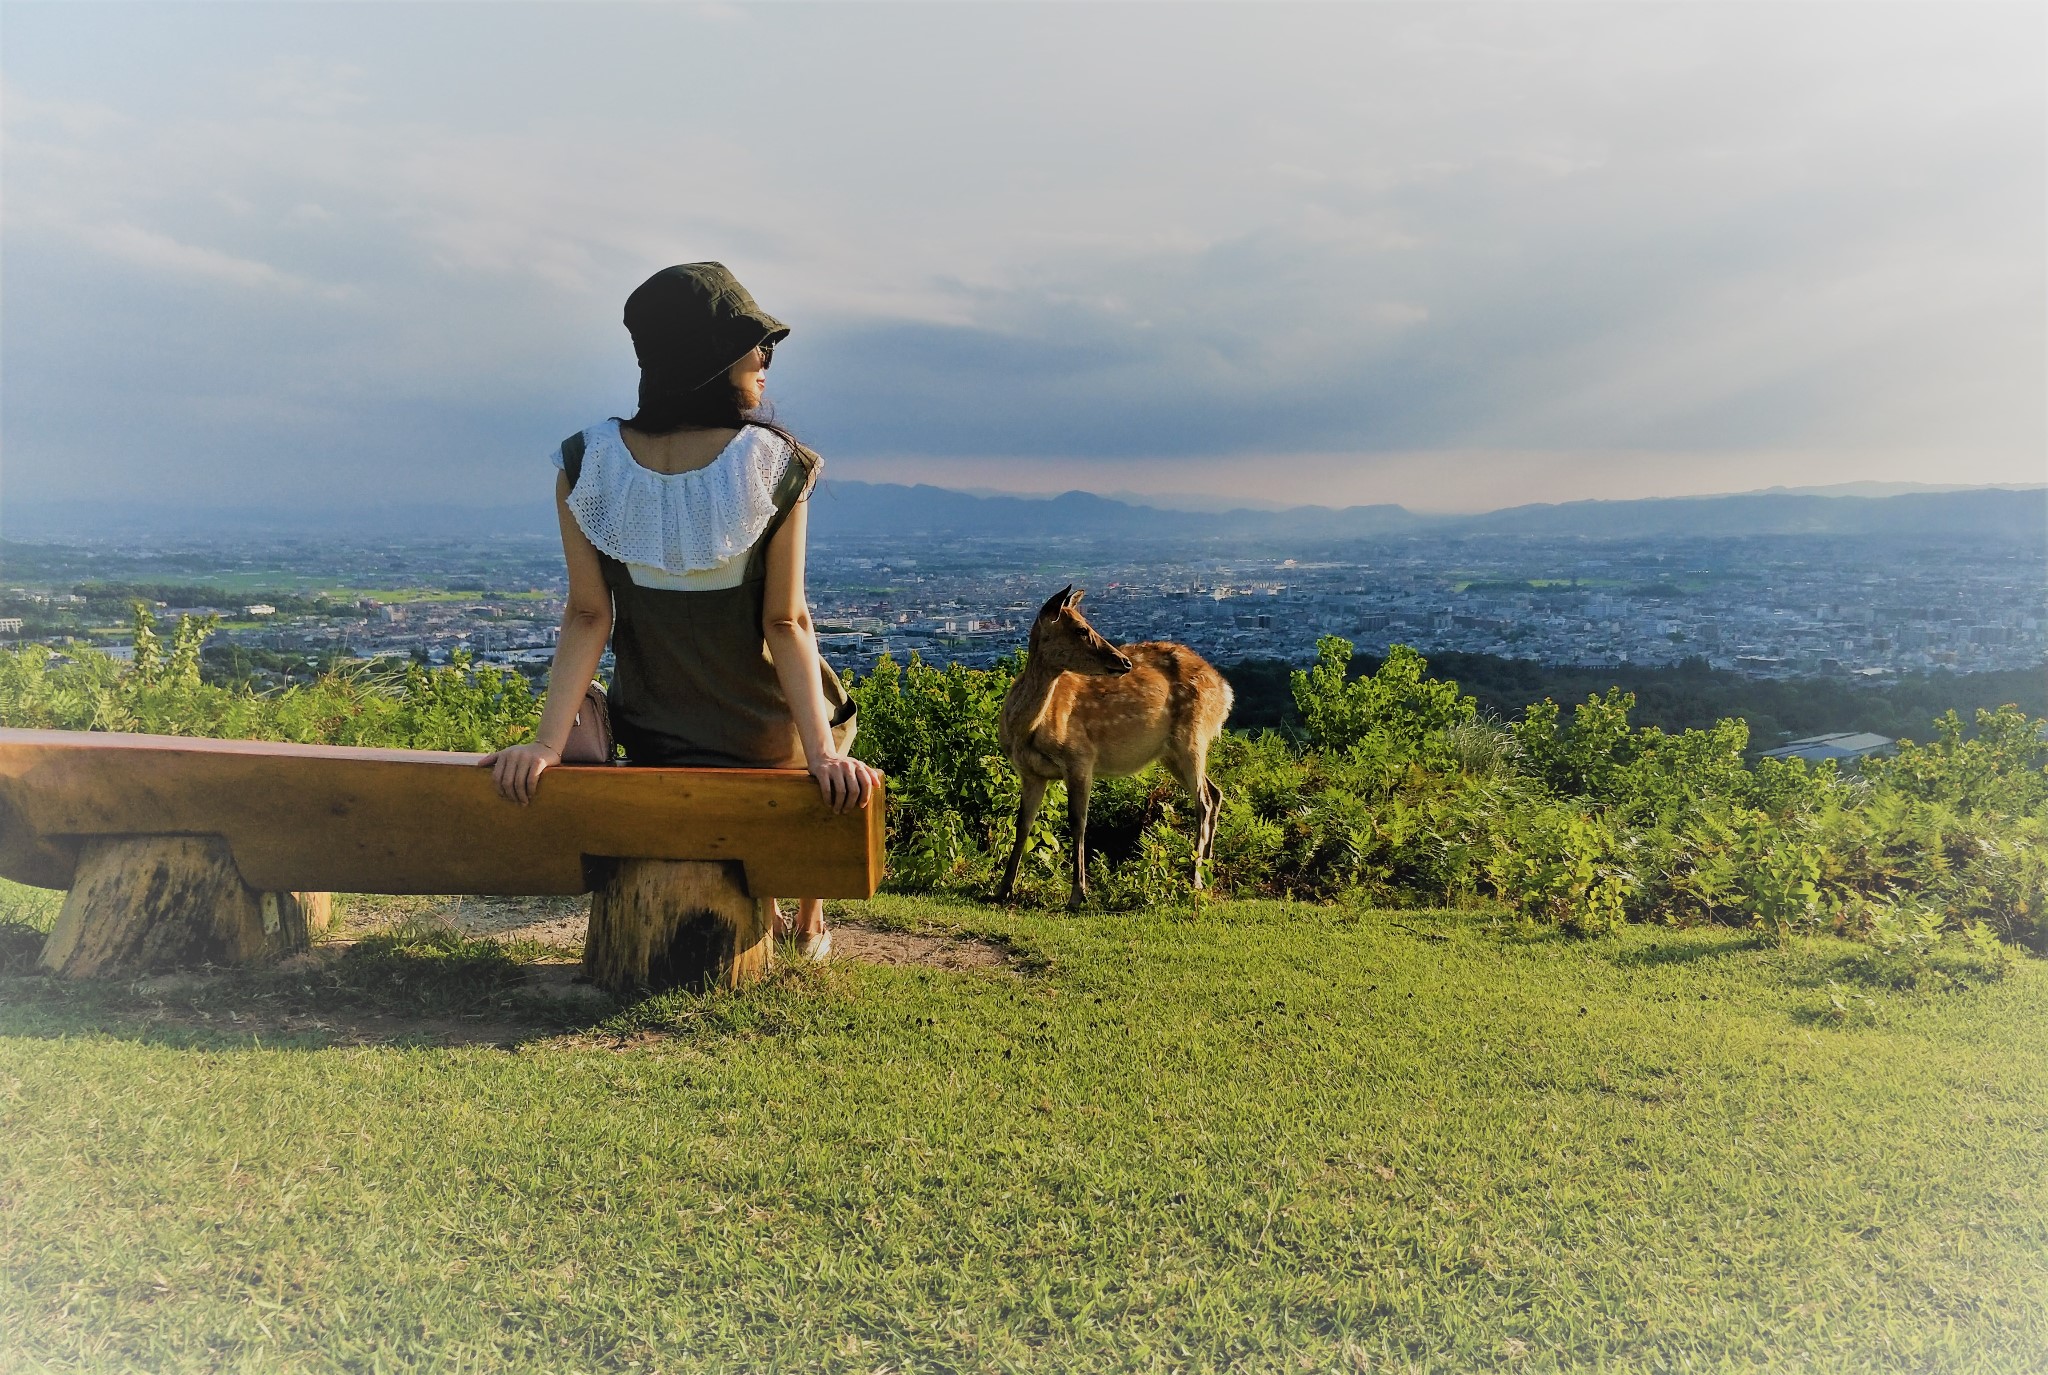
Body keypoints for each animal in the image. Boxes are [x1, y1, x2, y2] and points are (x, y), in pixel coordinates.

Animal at [991, 586, 1228, 909]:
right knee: (1214, 793)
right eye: (1081, 629)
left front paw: (1078, 895)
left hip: (1193, 737)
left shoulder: (1080, 758)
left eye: (1087, 623)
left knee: (1202, 800)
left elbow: (1078, 822)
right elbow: (1023, 823)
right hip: (1171, 753)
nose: (1124, 662)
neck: (1026, 730)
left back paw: (1195, 879)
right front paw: (1003, 889)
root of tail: (1225, 691)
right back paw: (1206, 871)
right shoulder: (1030, 773)